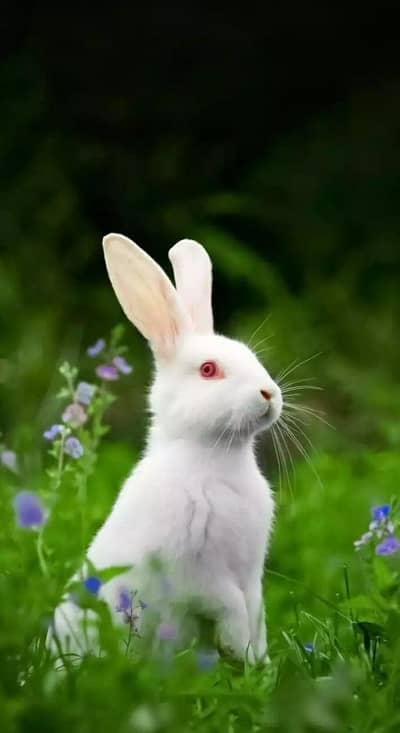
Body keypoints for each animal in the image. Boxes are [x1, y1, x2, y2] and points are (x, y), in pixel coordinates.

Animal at [50, 233, 282, 664]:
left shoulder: (250, 576)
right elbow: (230, 605)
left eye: (251, 356)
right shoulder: (197, 574)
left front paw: (257, 663)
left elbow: (255, 613)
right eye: (209, 370)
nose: (269, 394)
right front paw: (237, 650)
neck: (215, 459)